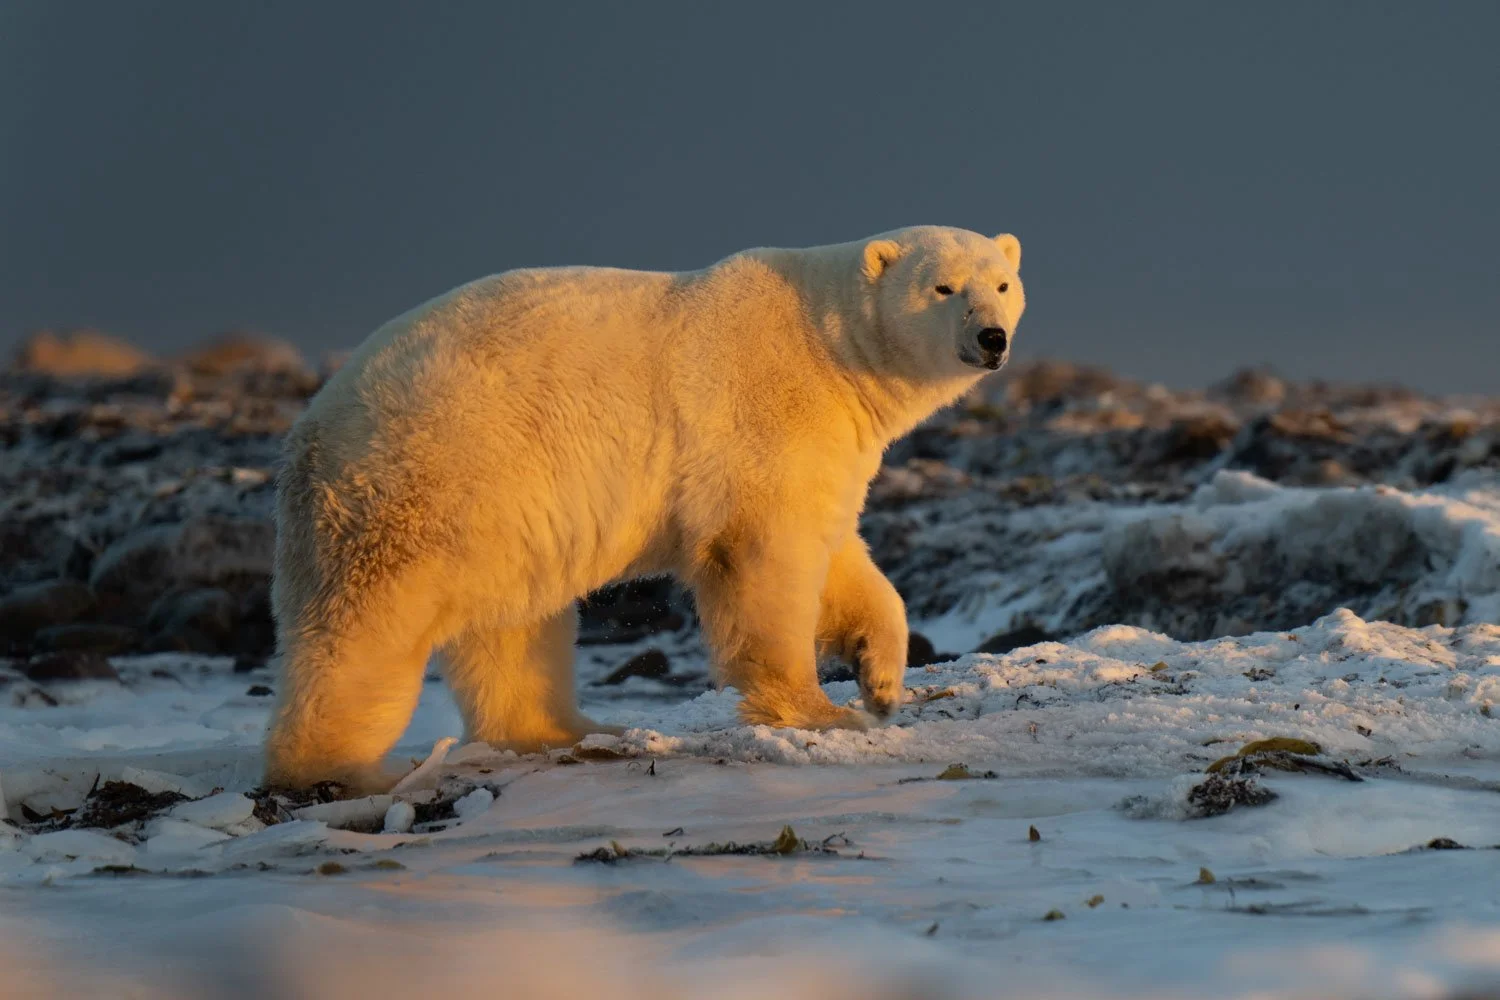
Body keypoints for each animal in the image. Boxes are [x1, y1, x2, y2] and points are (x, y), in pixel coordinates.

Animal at [263, 225, 1025, 791]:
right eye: (943, 287)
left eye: (1002, 283)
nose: (992, 338)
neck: (828, 345)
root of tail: (311, 428)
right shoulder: (765, 417)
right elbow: (765, 555)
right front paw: (819, 712)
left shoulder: (829, 447)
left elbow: (840, 558)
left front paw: (882, 682)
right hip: (423, 476)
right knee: (370, 624)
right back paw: (336, 767)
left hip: (505, 507)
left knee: (515, 624)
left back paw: (570, 730)